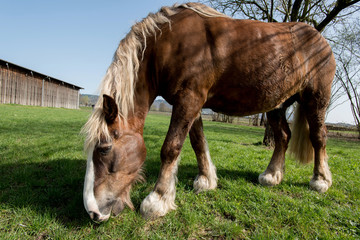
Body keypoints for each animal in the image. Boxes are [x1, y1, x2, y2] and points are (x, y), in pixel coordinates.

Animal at [81, 2, 334, 222]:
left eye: (104, 148)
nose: (93, 212)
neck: (170, 43)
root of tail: (319, 38)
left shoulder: (189, 99)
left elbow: (171, 148)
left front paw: (157, 200)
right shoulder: (191, 103)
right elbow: (198, 142)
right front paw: (206, 180)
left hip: (315, 99)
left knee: (318, 137)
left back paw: (320, 180)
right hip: (276, 104)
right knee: (283, 137)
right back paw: (272, 175)